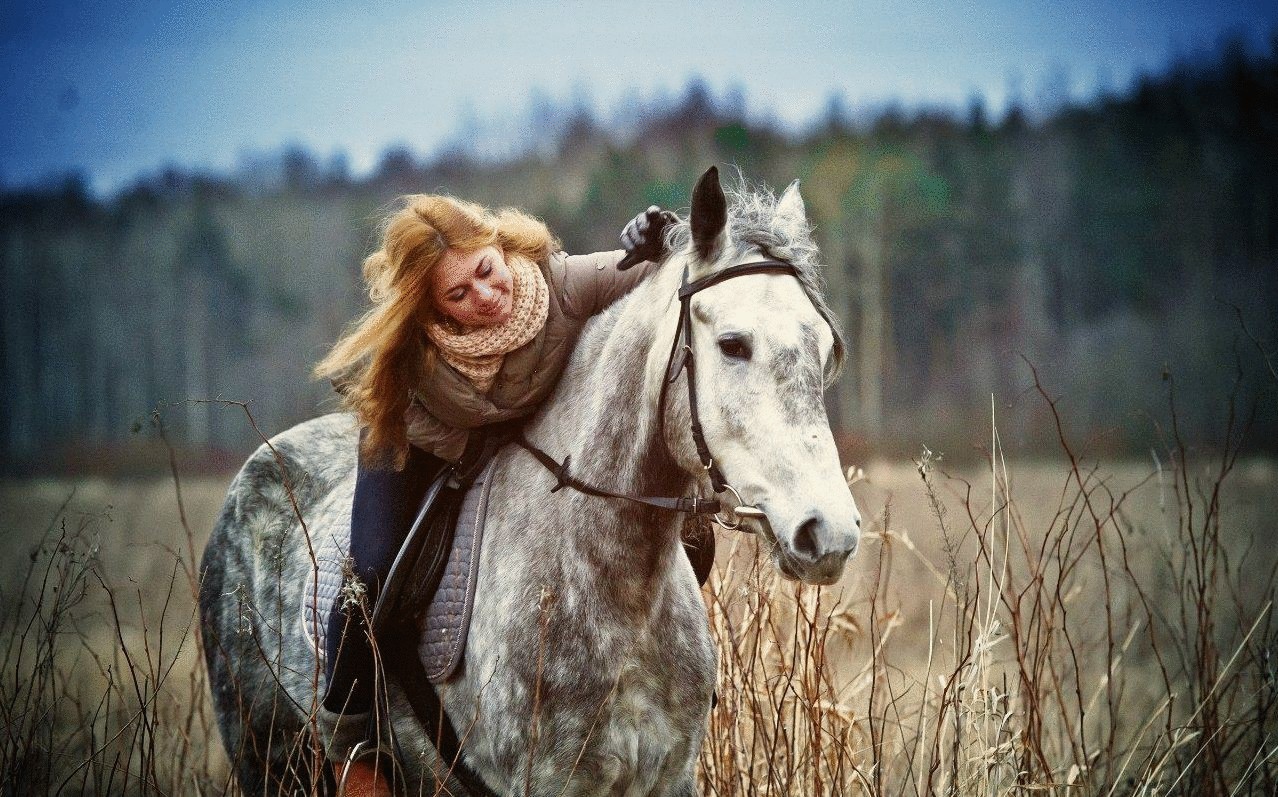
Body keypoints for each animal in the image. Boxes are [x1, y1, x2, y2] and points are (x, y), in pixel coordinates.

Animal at [199, 164, 858, 791]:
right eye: (732, 344)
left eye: (826, 349)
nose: (829, 533)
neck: (614, 592)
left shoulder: (669, 778)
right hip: (264, 753)